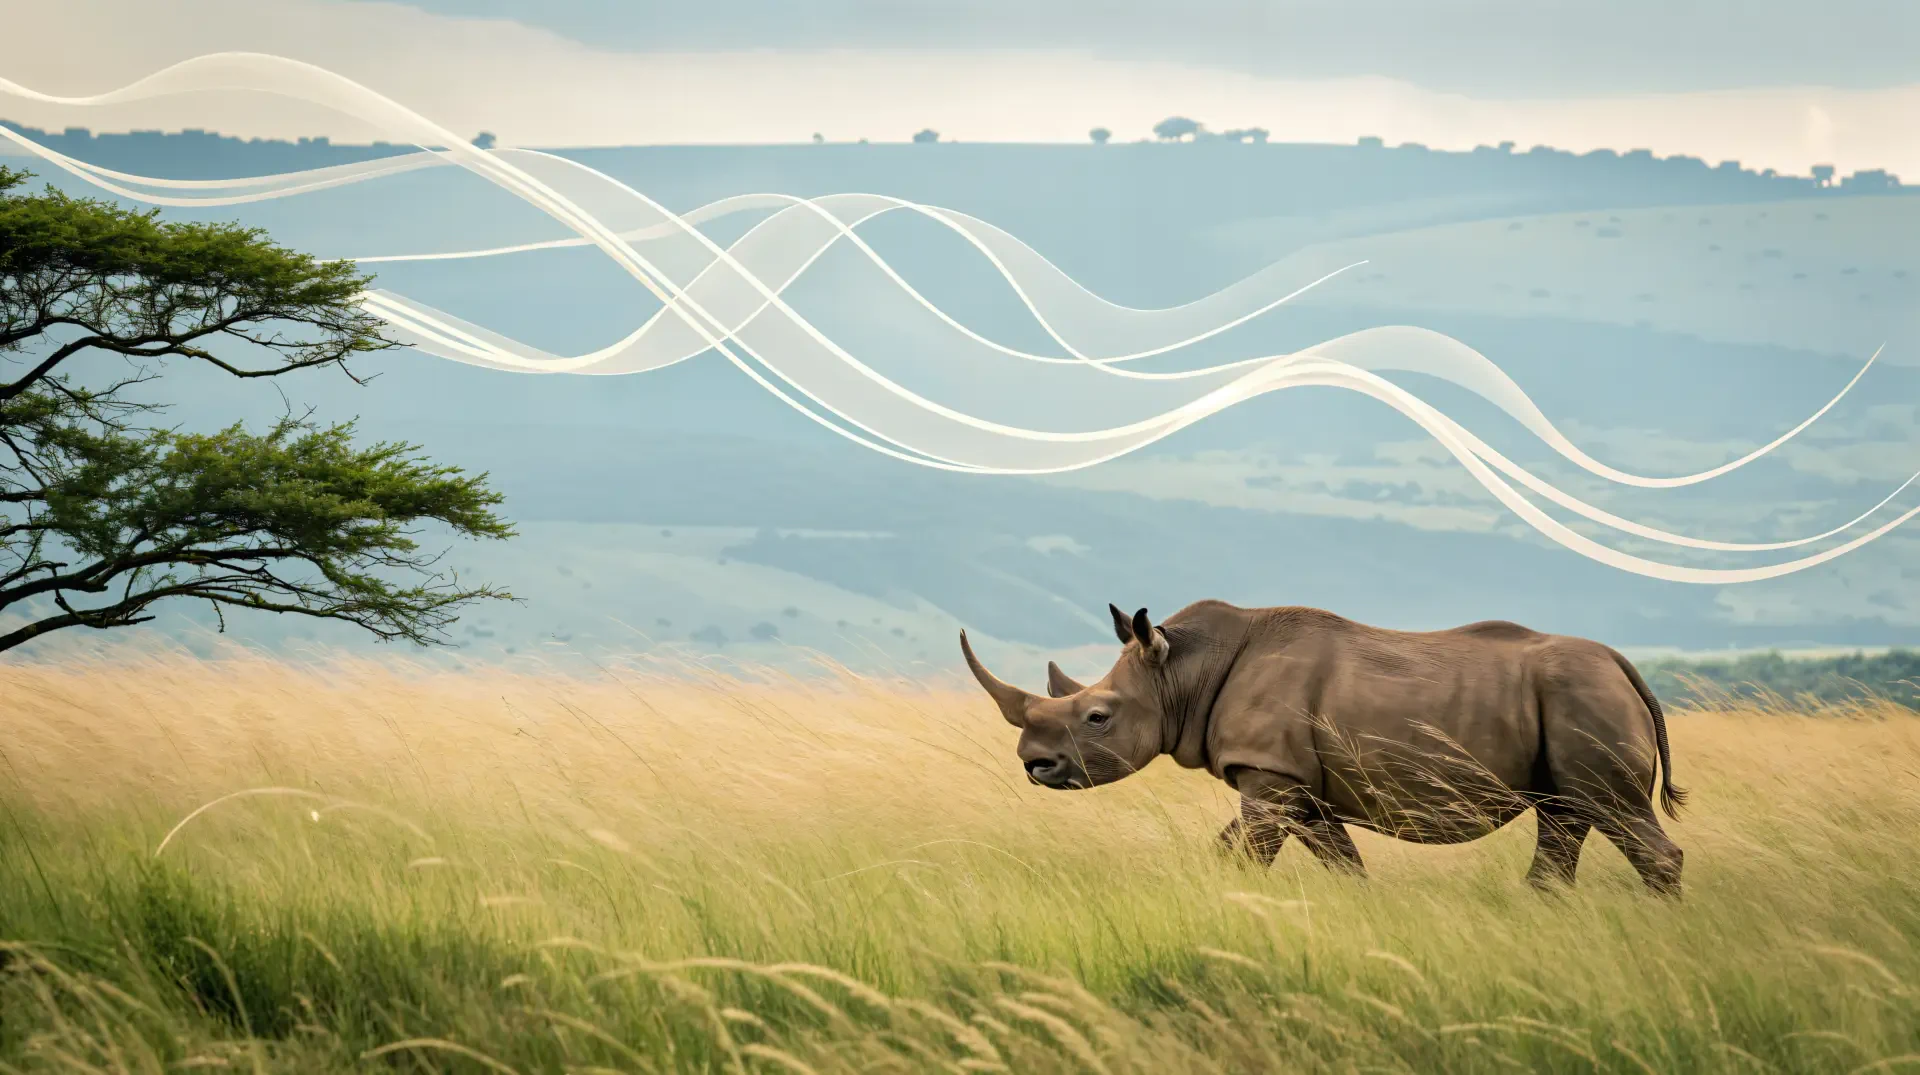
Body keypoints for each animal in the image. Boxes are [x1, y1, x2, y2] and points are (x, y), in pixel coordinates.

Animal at [959, 600, 1687, 894]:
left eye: (1097, 716)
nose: (1035, 765)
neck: (1181, 673)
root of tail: (1625, 666)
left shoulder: (1270, 776)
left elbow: (1238, 852)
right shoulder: (1297, 784)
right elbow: (1343, 863)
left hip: (1584, 696)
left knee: (1608, 808)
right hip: (1570, 703)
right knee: (1563, 814)